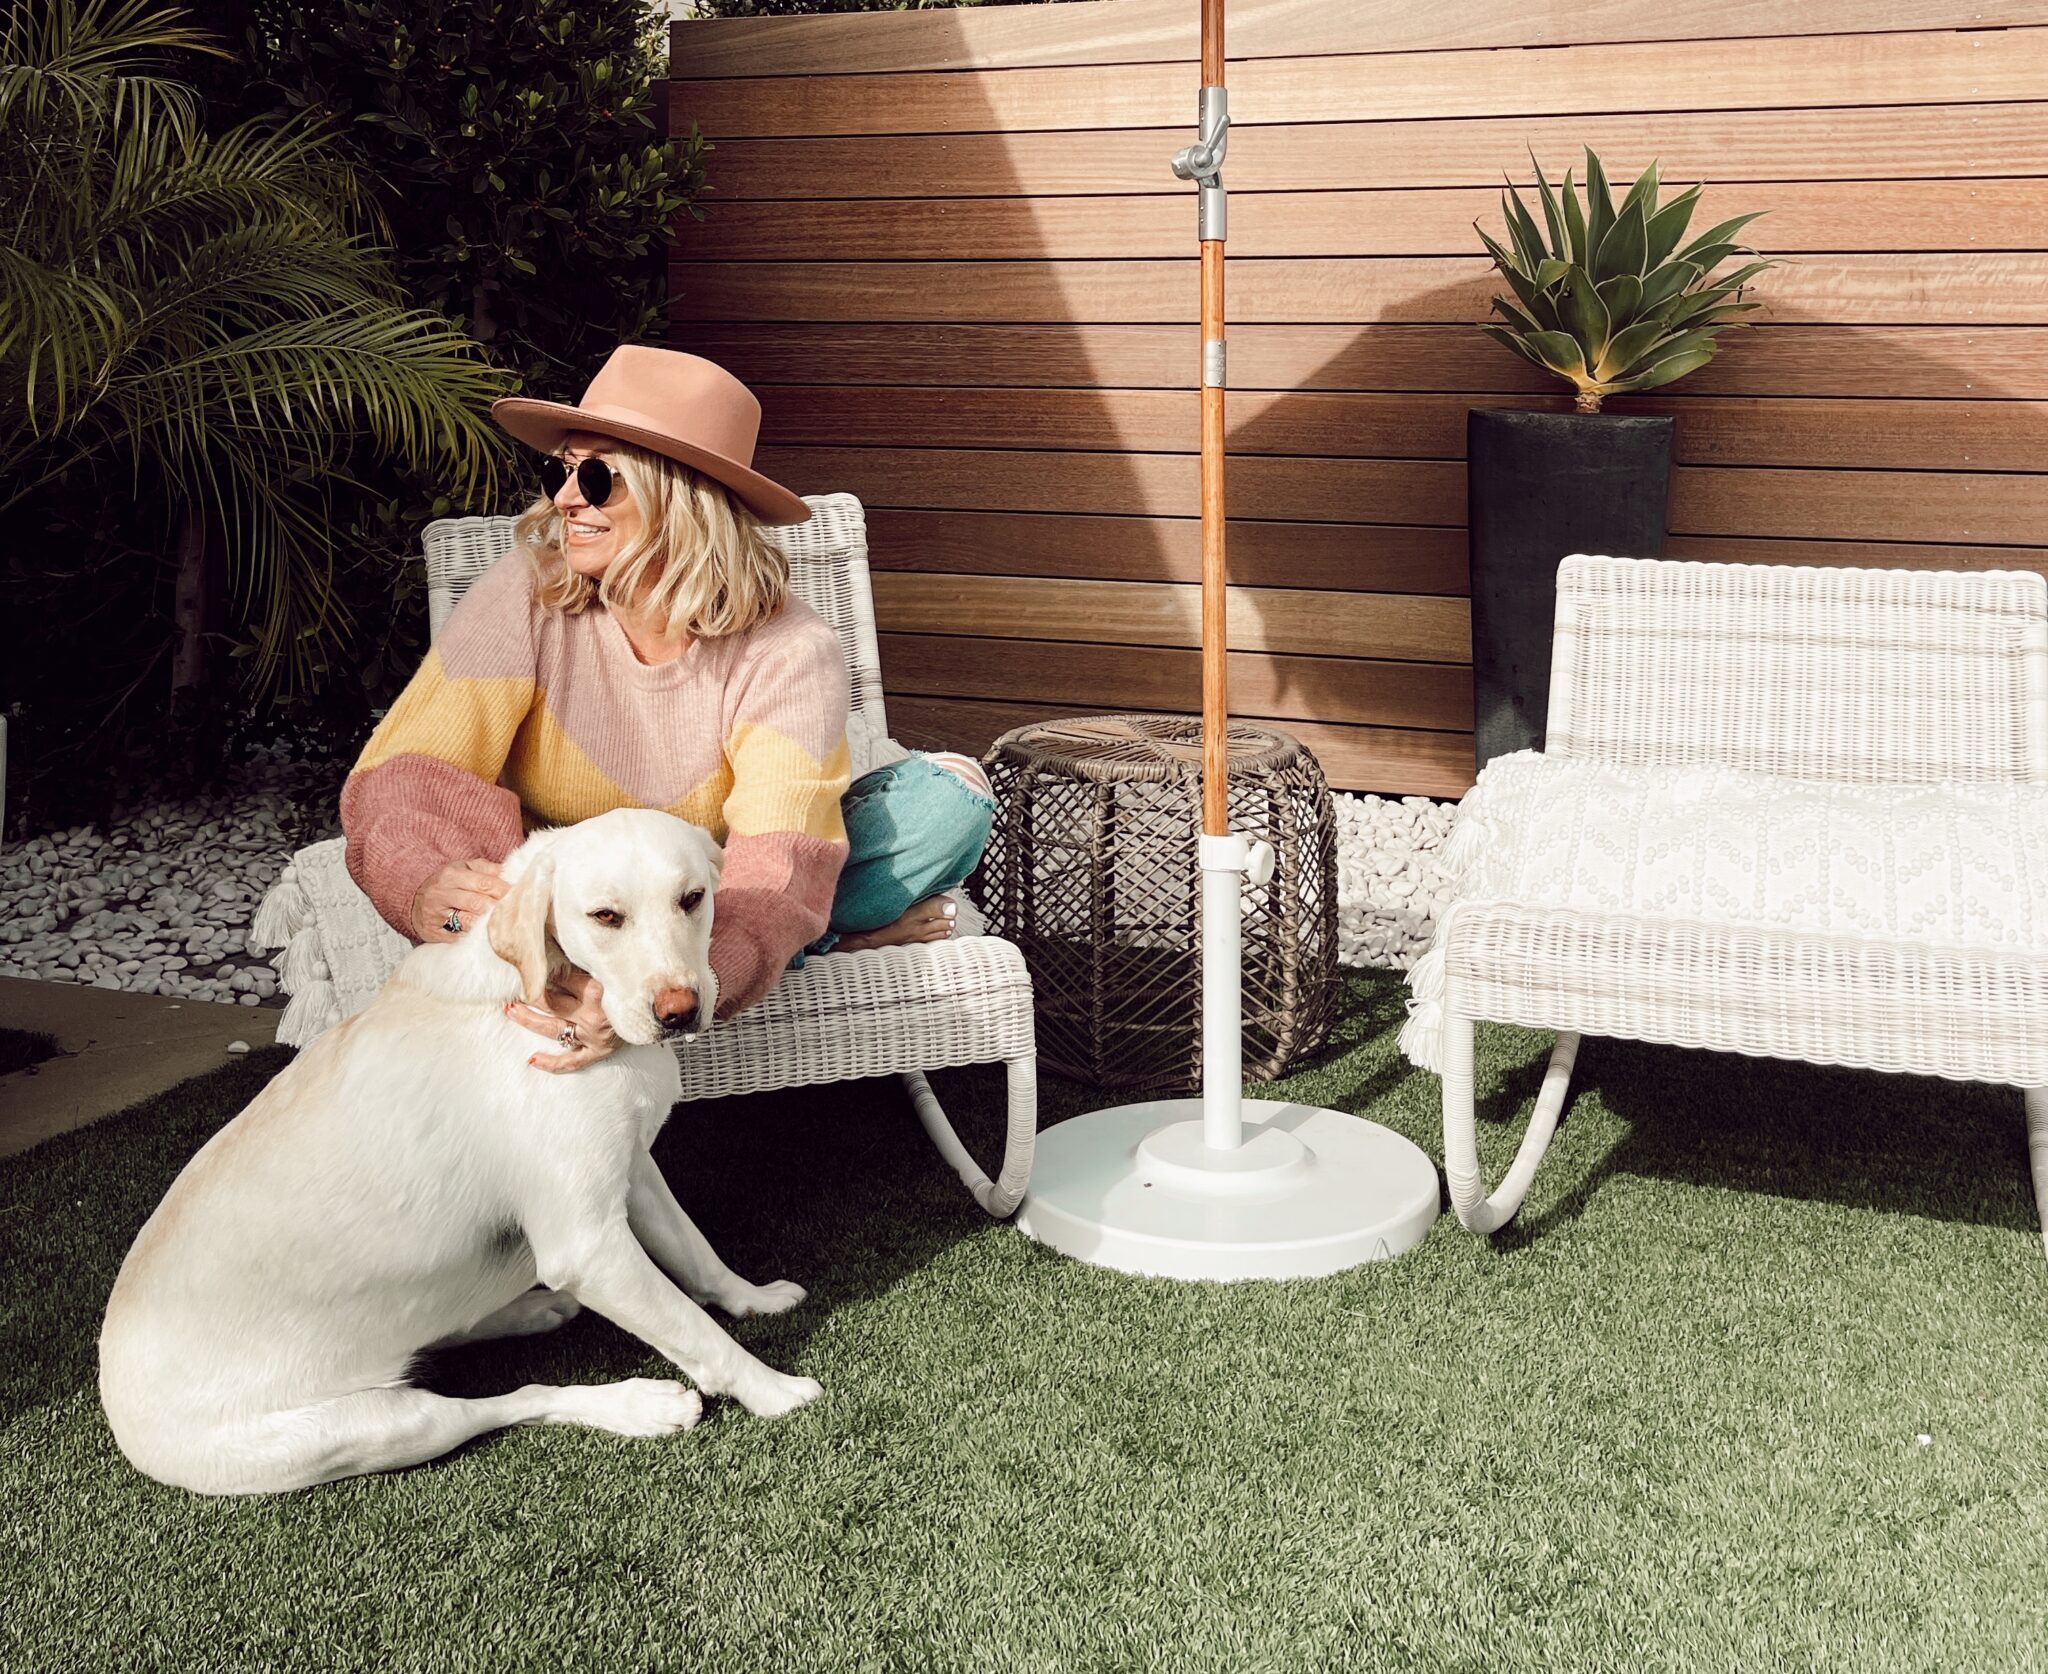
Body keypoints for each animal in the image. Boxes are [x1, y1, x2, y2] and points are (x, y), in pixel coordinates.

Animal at [94, 803, 815, 1491]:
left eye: (692, 898)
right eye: (605, 916)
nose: (679, 1012)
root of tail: (114, 1403)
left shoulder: (633, 1171)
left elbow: (696, 1253)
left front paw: (751, 1298)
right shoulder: (588, 1245)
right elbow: (696, 1330)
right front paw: (772, 1389)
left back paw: (530, 1309)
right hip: (380, 1428)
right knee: (515, 1400)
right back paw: (638, 1403)